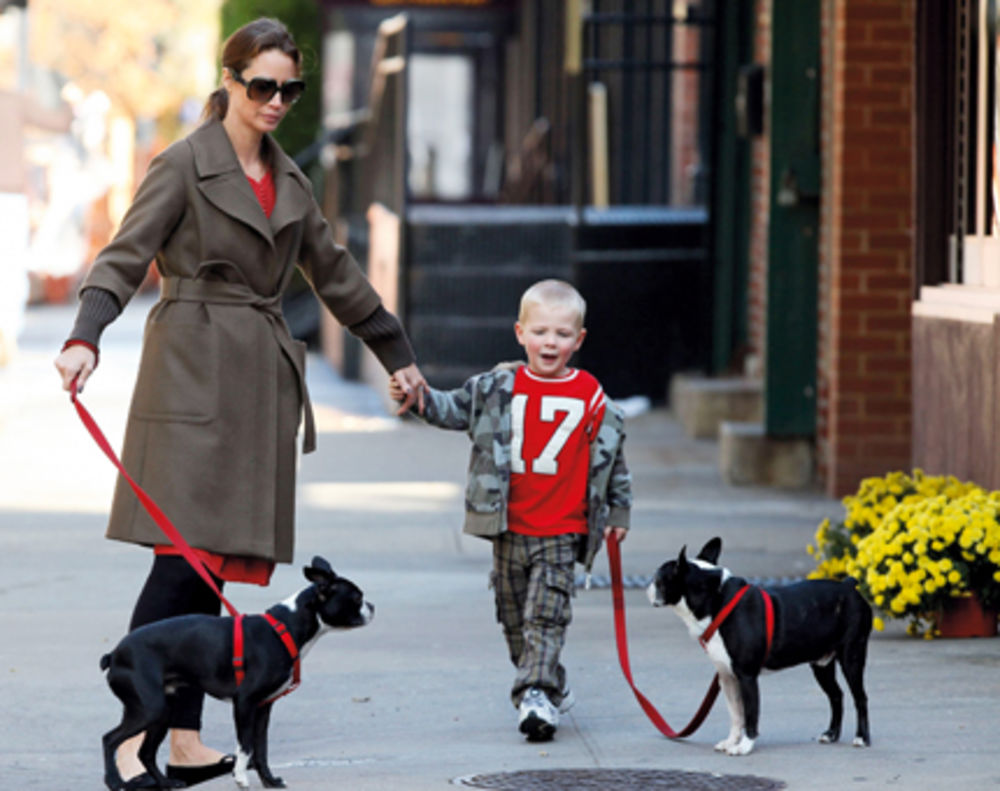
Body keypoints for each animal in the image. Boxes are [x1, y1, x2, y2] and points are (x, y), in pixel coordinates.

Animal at [101, 560, 376, 788]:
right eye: (357, 597)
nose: (372, 606)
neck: (286, 628)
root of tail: (114, 654)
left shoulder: (264, 708)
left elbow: (261, 749)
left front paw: (269, 781)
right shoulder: (244, 702)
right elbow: (246, 746)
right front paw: (241, 778)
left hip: (162, 712)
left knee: (145, 752)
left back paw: (166, 783)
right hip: (150, 709)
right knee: (110, 739)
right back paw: (115, 782)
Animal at [648, 540, 868, 756]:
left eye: (658, 579)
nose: (649, 585)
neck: (716, 600)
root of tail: (849, 585)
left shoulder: (747, 677)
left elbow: (750, 713)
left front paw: (745, 746)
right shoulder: (727, 677)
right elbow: (736, 714)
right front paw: (731, 741)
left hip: (851, 657)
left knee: (860, 697)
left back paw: (862, 738)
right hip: (822, 665)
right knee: (836, 695)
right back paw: (831, 734)